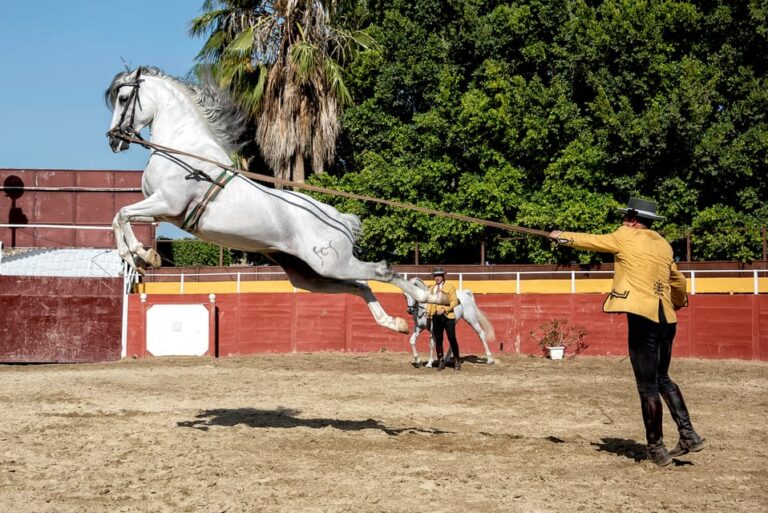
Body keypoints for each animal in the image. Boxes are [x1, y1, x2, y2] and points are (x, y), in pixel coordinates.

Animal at [104, 66, 448, 334]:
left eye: (123, 99)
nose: (113, 140)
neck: (183, 151)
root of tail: (339, 220)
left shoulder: (167, 204)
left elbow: (121, 214)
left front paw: (143, 256)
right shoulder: (162, 213)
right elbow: (120, 217)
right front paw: (142, 256)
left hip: (331, 263)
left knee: (381, 272)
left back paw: (432, 298)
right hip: (312, 275)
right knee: (360, 285)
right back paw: (395, 323)